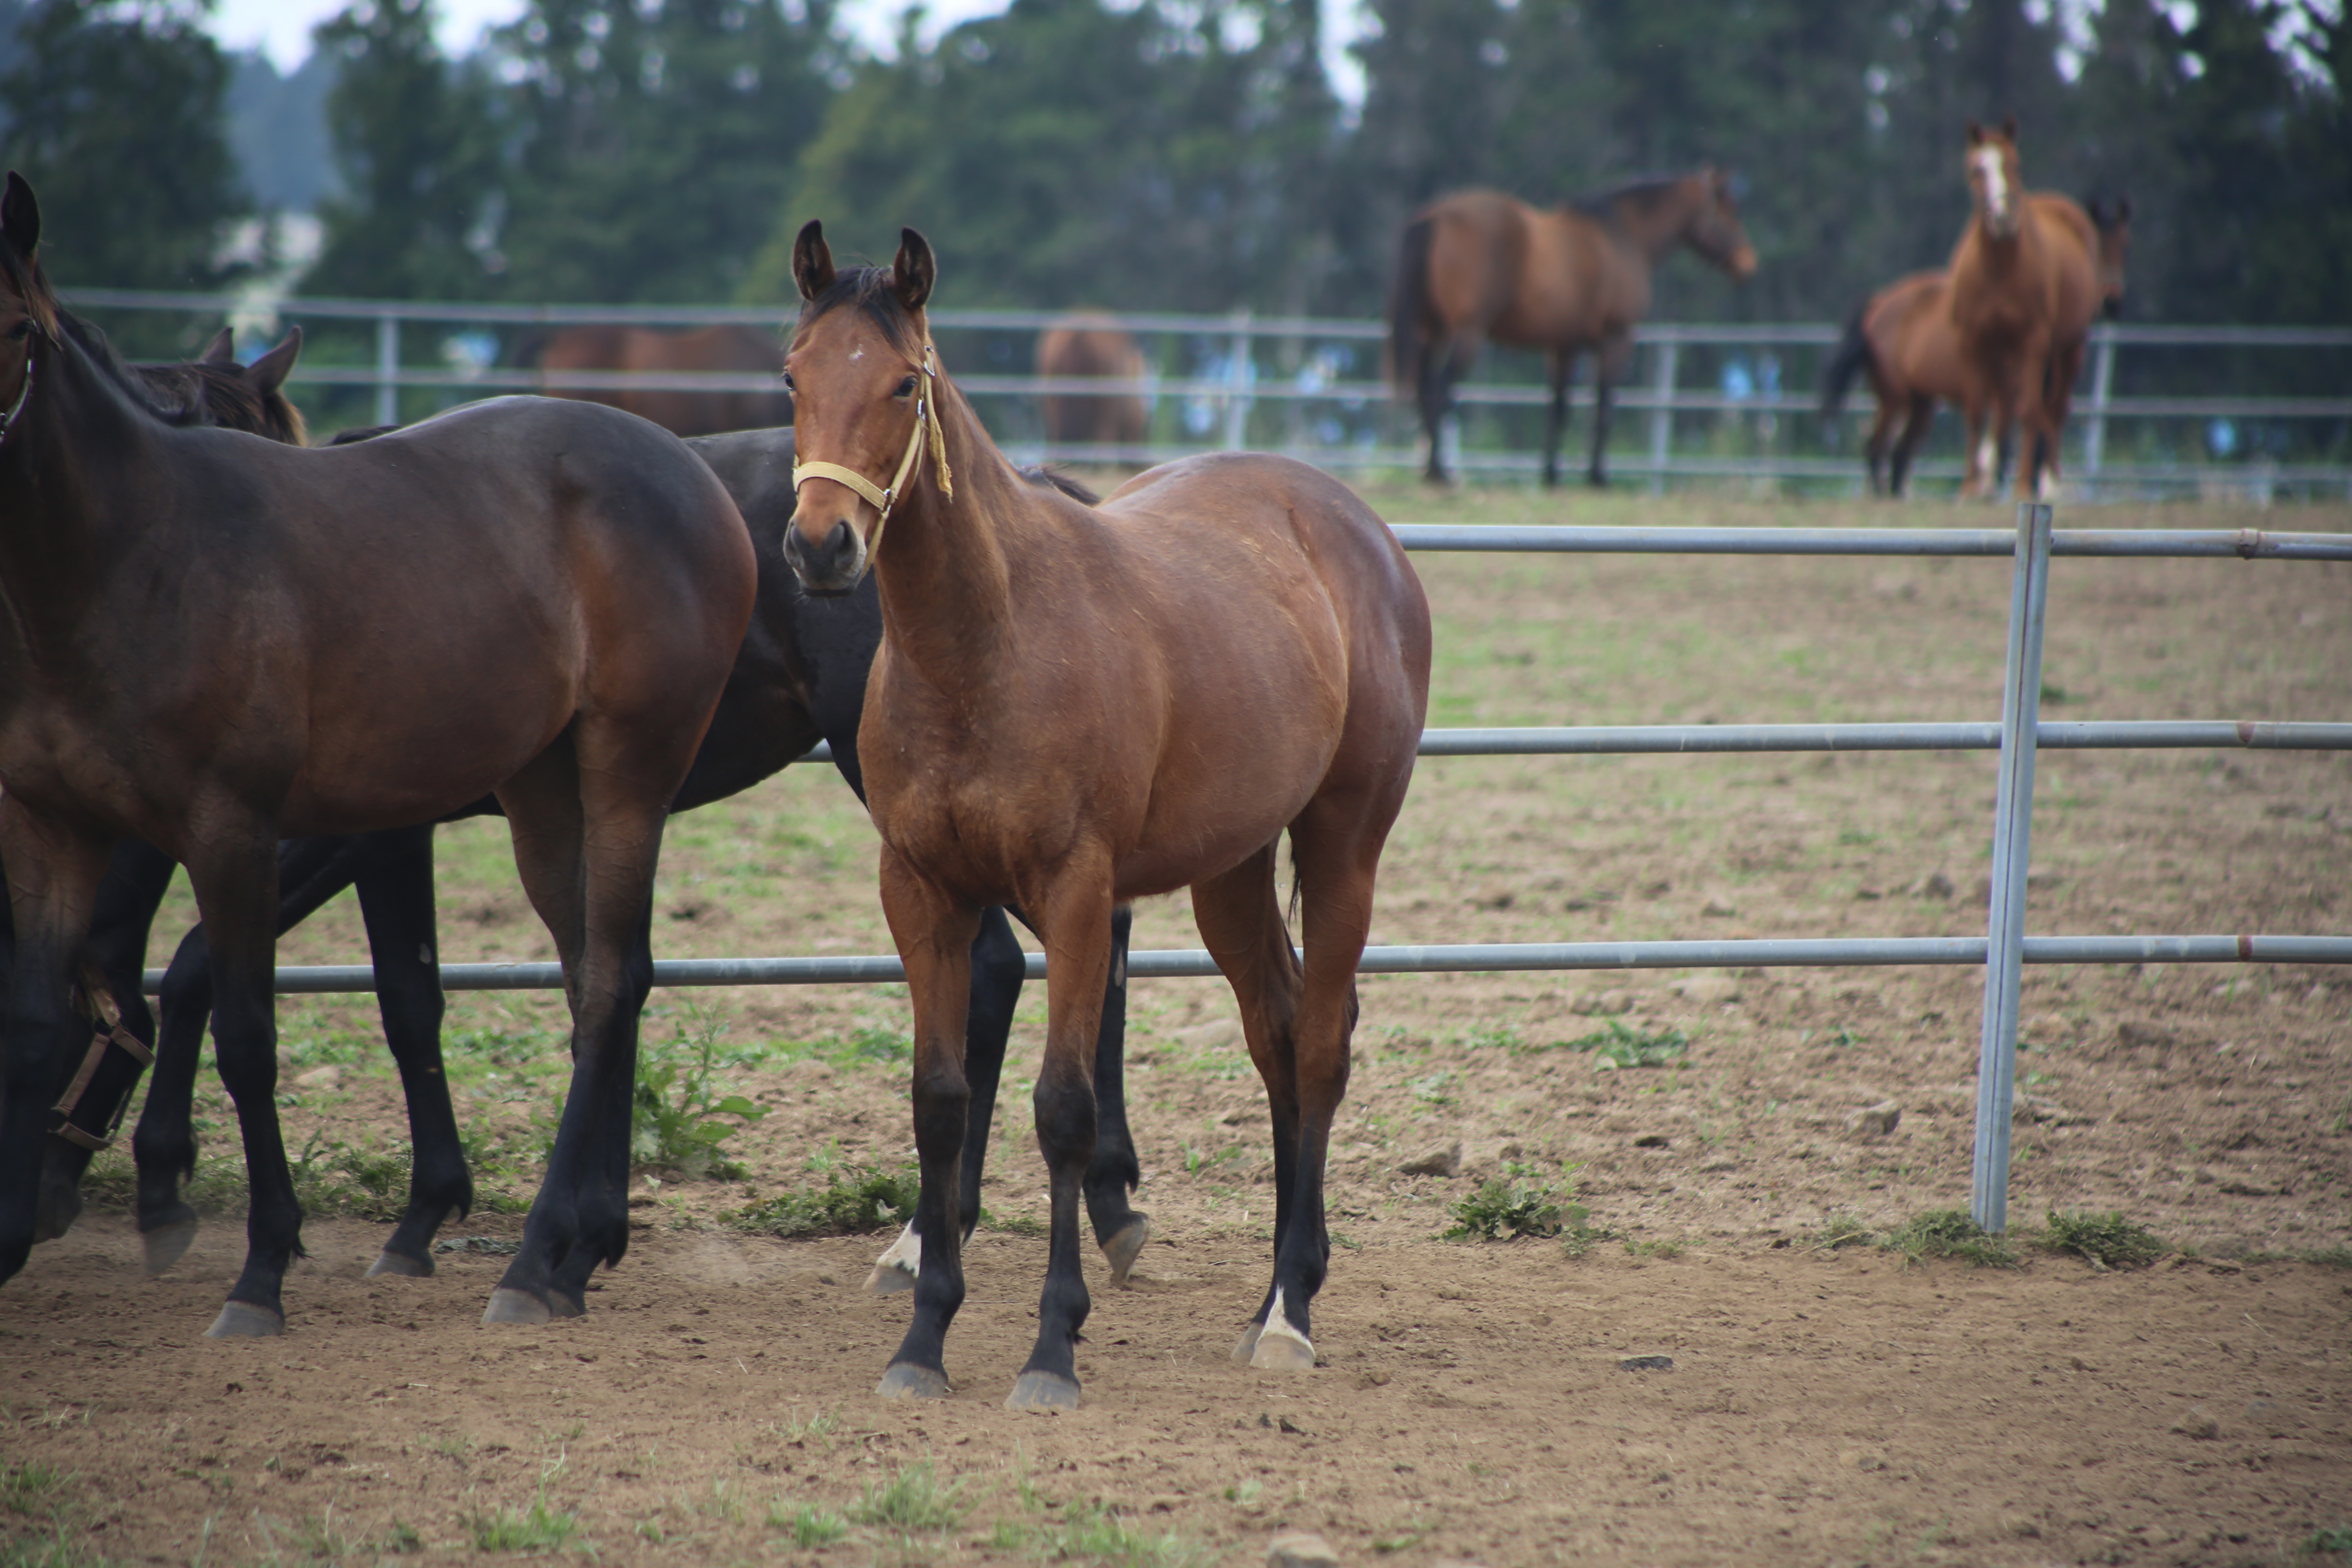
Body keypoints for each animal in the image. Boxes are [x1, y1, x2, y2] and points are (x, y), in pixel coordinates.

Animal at [0, 177, 753, 1345]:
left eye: (15, 330)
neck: (133, 557)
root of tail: (690, 470)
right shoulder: (56, 825)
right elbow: (58, 1015)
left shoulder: (248, 827)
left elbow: (249, 1024)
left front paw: (258, 1263)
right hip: (545, 795)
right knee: (598, 973)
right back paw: (571, 1254)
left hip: (632, 772)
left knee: (610, 982)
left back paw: (537, 1256)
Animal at [1383, 168, 1759, 486]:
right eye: (1732, 212)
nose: (1748, 265)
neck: (1623, 236)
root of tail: (1438, 215)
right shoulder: (1617, 338)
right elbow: (1604, 407)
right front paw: (1597, 476)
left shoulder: (1563, 347)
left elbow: (1559, 408)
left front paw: (1550, 474)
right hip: (1467, 333)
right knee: (1440, 391)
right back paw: (1440, 472)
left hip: (1431, 332)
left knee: (1424, 390)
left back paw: (1433, 469)